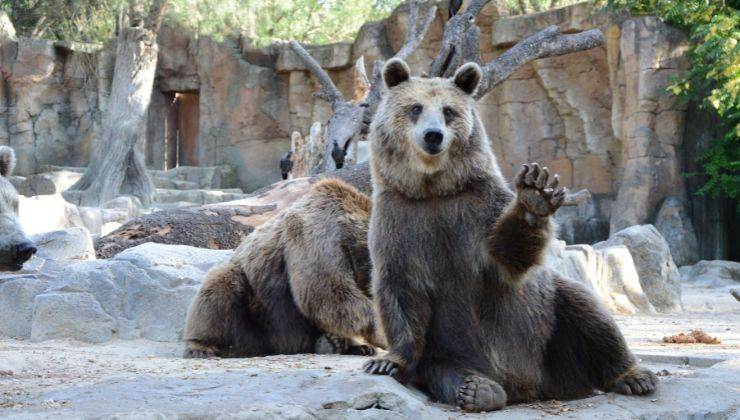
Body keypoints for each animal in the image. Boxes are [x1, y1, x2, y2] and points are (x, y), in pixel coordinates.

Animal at [184, 179, 388, 360]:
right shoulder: (319, 237)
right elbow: (326, 293)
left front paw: (360, 344)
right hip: (257, 318)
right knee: (220, 285)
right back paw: (201, 347)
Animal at [362, 57, 656, 412]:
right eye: (415, 108)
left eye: (448, 110)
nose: (433, 136)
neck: (433, 189)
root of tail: (531, 386)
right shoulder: (401, 220)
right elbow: (400, 287)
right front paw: (386, 361)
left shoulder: (476, 209)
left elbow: (506, 256)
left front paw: (535, 194)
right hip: (447, 351)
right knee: (447, 371)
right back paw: (478, 389)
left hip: (549, 331)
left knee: (588, 313)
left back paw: (634, 376)